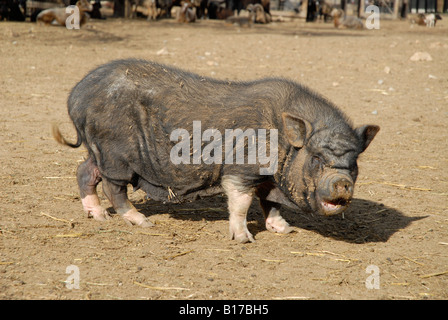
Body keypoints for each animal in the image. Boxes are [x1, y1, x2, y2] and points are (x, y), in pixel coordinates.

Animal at [54, 58, 380, 242]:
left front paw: (285, 230)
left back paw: (99, 217)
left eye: (354, 163)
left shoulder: (268, 177)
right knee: (113, 187)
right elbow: (241, 202)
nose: (342, 183)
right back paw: (141, 221)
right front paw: (243, 239)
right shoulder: (241, 168)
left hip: (99, 150)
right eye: (316, 158)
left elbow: (269, 203)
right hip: (116, 153)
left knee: (84, 171)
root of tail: (76, 96)